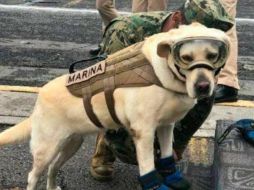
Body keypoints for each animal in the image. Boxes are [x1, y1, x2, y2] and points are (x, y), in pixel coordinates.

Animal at [0, 22, 230, 190]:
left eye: (213, 56)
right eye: (185, 57)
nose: (203, 87)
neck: (163, 71)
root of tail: (39, 99)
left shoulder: (166, 126)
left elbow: (166, 156)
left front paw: (173, 177)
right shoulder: (143, 132)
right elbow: (148, 166)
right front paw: (155, 185)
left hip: (71, 144)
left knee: (52, 169)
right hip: (46, 149)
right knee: (33, 175)